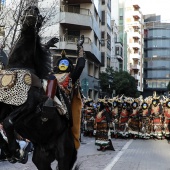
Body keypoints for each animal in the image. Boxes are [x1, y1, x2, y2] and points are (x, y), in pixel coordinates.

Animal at [0, 5, 76, 170]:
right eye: (25, 11)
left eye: (40, 15)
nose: (32, 8)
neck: (20, 67)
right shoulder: (3, 106)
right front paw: (9, 151)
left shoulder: (30, 104)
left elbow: (8, 122)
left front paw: (15, 151)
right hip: (41, 160)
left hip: (64, 156)